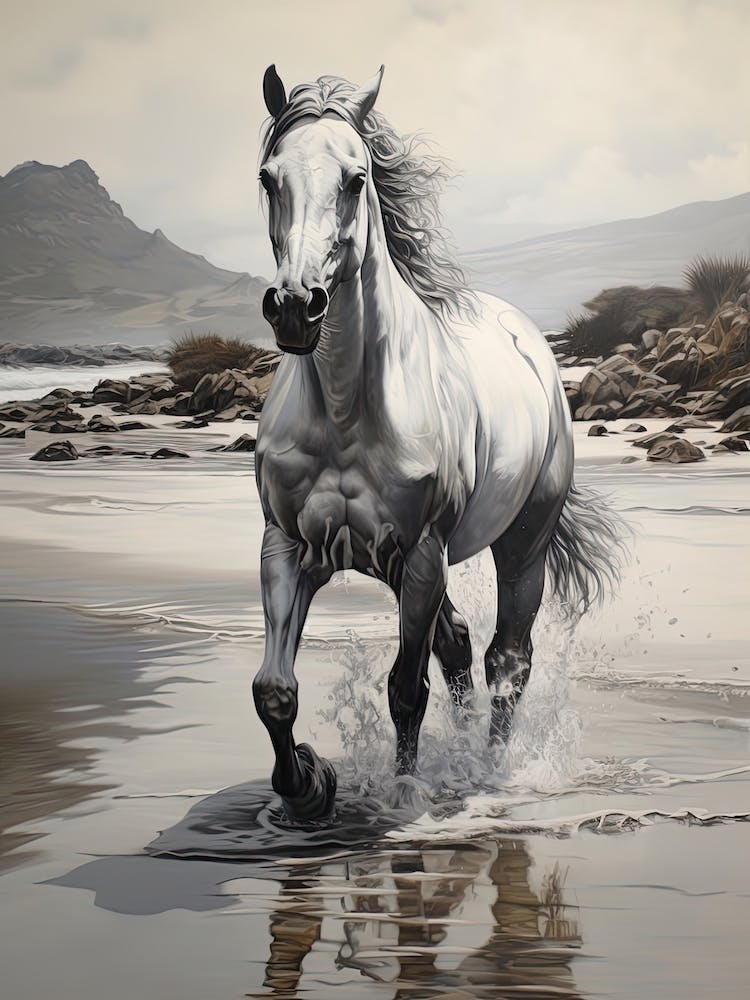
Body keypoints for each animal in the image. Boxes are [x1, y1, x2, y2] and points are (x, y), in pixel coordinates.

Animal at [252, 65, 620, 822]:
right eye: (269, 178)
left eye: (355, 179)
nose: (297, 306)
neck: (347, 409)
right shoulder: (288, 546)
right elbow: (275, 690)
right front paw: (309, 786)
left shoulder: (422, 551)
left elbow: (405, 688)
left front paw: (403, 792)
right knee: (457, 646)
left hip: (520, 546)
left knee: (507, 658)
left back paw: (490, 769)